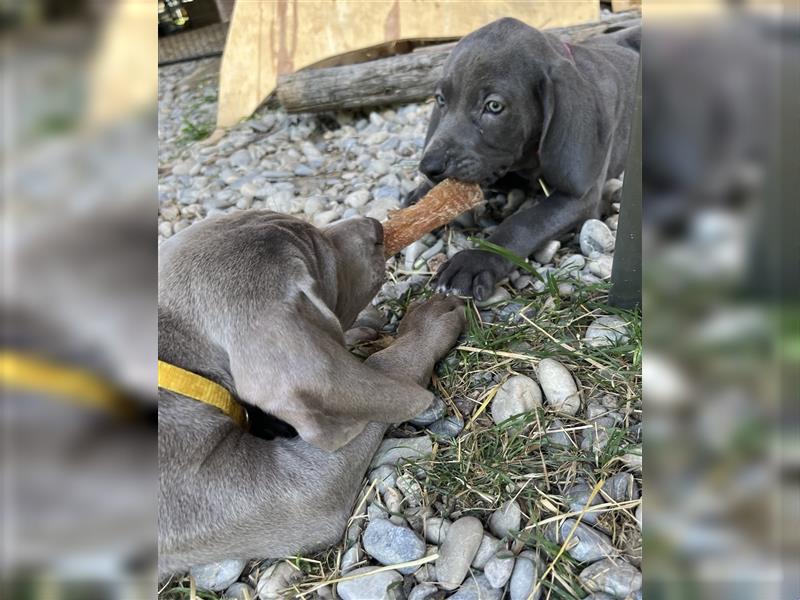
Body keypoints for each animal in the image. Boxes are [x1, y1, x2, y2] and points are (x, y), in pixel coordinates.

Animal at [410, 18, 640, 300]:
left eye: (494, 106)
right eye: (441, 99)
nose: (429, 168)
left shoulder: (582, 198)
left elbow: (524, 222)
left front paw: (476, 259)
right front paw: (420, 196)